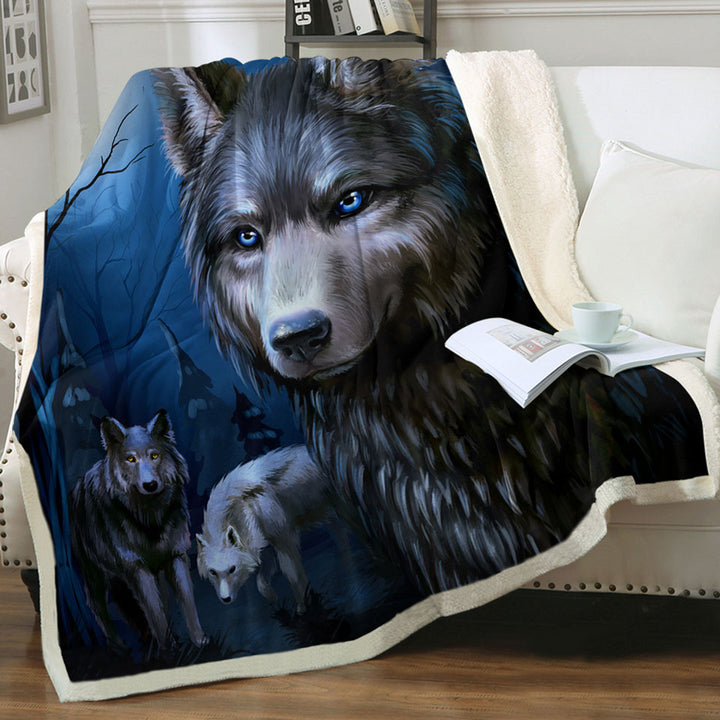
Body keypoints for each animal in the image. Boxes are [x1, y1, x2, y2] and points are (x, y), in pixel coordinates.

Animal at [70, 410, 207, 649]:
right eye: (131, 459)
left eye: (154, 456)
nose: (150, 485)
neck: (150, 519)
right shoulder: (136, 567)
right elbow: (155, 614)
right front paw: (168, 650)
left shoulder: (175, 556)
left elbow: (186, 603)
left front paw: (198, 642)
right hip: (95, 576)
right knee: (97, 607)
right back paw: (118, 648)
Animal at [197, 444, 334, 613]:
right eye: (212, 572)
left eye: (232, 569)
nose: (226, 599)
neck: (244, 509)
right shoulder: (264, 547)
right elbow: (261, 584)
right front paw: (273, 599)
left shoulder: (284, 541)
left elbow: (294, 576)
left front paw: (303, 608)